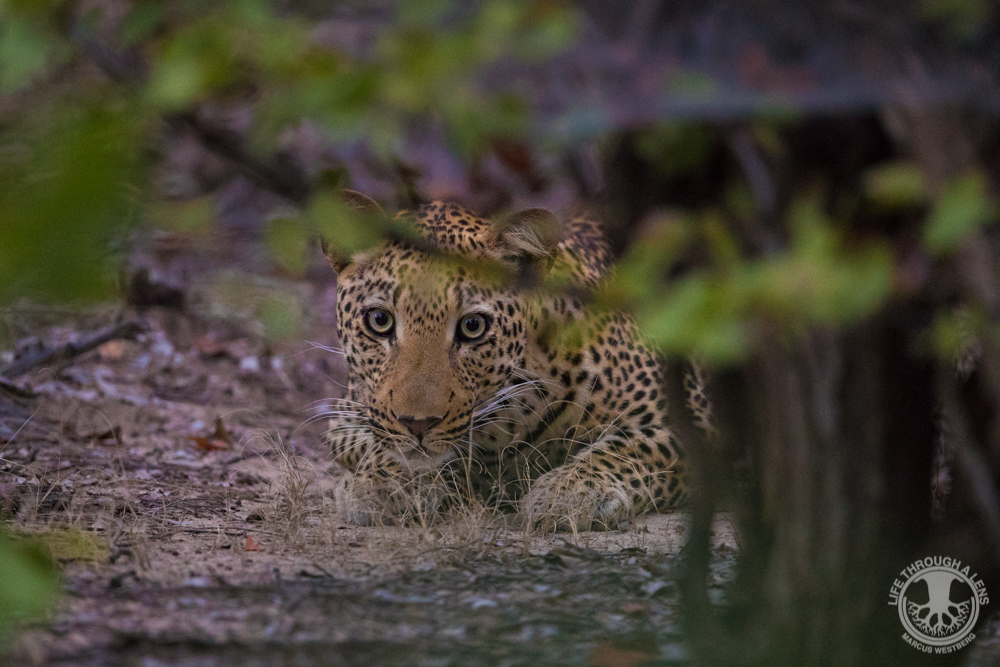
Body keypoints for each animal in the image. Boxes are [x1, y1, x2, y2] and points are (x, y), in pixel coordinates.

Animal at [321, 190, 687, 531]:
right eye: (380, 320)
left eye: (472, 326)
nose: (418, 425)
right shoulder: (345, 415)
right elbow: (381, 441)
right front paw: (386, 482)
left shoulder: (677, 421)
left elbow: (626, 450)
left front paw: (567, 492)